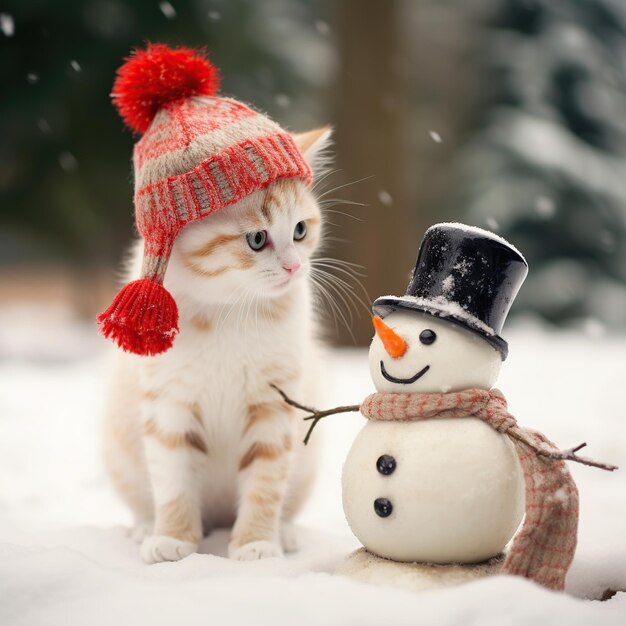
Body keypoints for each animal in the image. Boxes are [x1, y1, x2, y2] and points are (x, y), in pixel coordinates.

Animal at [103, 127, 332, 560]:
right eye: (257, 239)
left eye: (300, 230)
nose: (295, 266)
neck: (231, 311)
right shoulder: (169, 398)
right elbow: (173, 477)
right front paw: (172, 537)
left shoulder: (275, 400)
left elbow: (265, 481)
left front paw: (257, 542)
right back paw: (145, 526)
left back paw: (284, 531)